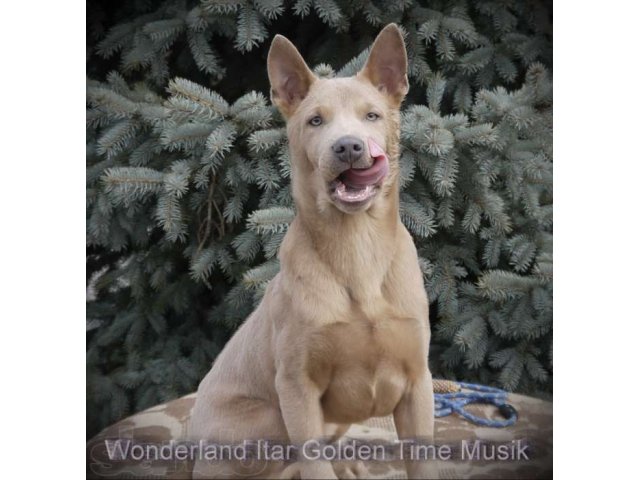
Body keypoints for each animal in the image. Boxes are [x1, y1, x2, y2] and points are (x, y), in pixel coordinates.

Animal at [190, 24, 436, 478]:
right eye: (315, 120)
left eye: (372, 115)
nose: (349, 147)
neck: (356, 245)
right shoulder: (296, 387)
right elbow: (313, 462)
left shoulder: (418, 381)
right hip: (263, 419)